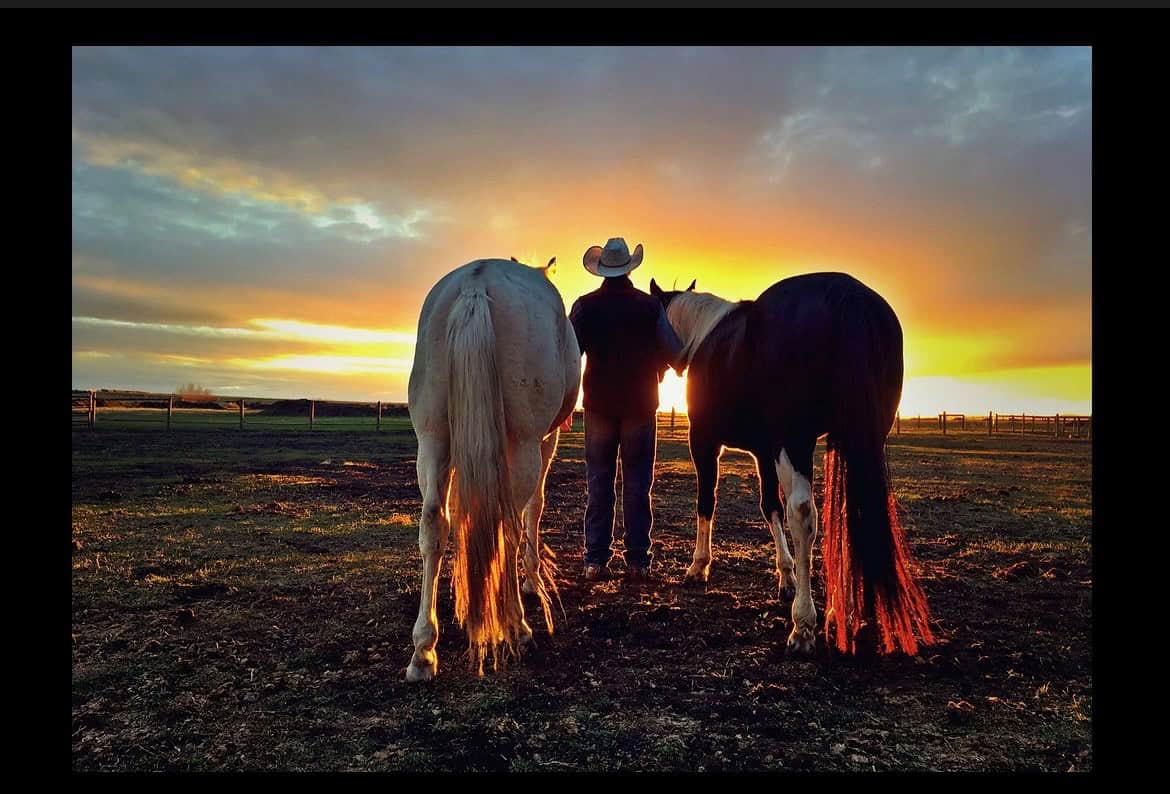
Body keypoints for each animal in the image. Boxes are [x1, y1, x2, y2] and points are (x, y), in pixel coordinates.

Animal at [405, 256, 580, 681]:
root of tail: (476, 281)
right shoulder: (545, 442)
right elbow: (535, 509)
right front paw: (531, 581)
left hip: (433, 440)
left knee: (434, 523)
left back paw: (424, 650)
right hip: (523, 444)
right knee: (509, 524)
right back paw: (517, 624)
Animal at [649, 272, 934, 656]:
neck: (703, 334)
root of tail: (848, 294)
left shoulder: (706, 443)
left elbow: (707, 502)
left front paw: (698, 567)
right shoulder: (763, 452)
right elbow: (770, 506)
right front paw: (786, 576)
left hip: (796, 441)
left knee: (802, 514)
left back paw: (804, 625)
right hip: (859, 437)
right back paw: (849, 615)